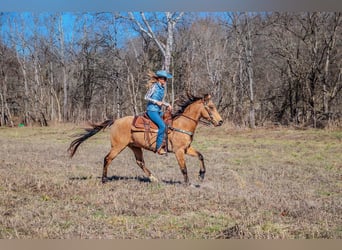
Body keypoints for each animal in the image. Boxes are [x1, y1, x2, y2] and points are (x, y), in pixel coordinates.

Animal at [68, 93, 223, 185]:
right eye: (211, 107)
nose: (220, 122)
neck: (181, 124)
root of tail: (115, 120)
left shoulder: (186, 149)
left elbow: (200, 156)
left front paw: (201, 175)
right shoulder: (179, 151)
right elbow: (183, 168)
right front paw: (187, 183)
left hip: (135, 147)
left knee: (140, 162)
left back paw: (153, 178)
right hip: (118, 146)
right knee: (107, 158)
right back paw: (104, 179)